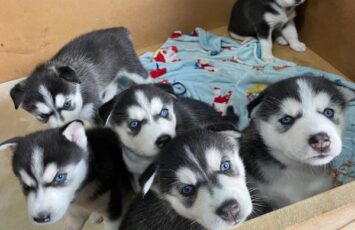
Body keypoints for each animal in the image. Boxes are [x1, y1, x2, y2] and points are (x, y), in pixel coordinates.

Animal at [0, 120, 131, 230]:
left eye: (60, 177)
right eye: (25, 186)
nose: (41, 218)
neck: (80, 193)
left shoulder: (112, 206)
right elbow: (73, 216)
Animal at [9, 27, 149, 127]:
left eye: (67, 104)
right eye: (43, 115)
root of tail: (119, 30)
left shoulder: (94, 112)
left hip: (131, 66)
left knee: (144, 77)